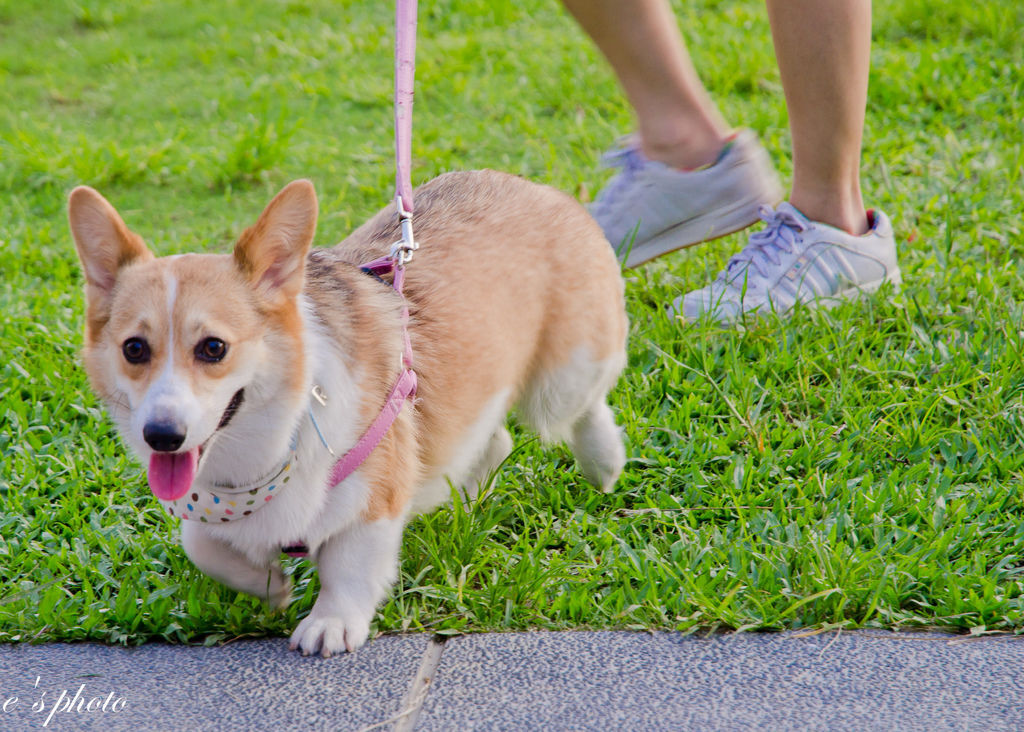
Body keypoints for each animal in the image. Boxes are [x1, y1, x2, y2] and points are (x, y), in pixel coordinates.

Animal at [68, 171, 626, 659]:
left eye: (213, 348)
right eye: (134, 349)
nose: (162, 436)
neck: (263, 451)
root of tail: (538, 188)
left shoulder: (371, 502)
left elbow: (349, 567)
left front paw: (330, 623)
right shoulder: (210, 512)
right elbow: (201, 547)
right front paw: (270, 586)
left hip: (559, 383)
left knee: (582, 407)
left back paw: (604, 463)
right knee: (491, 442)